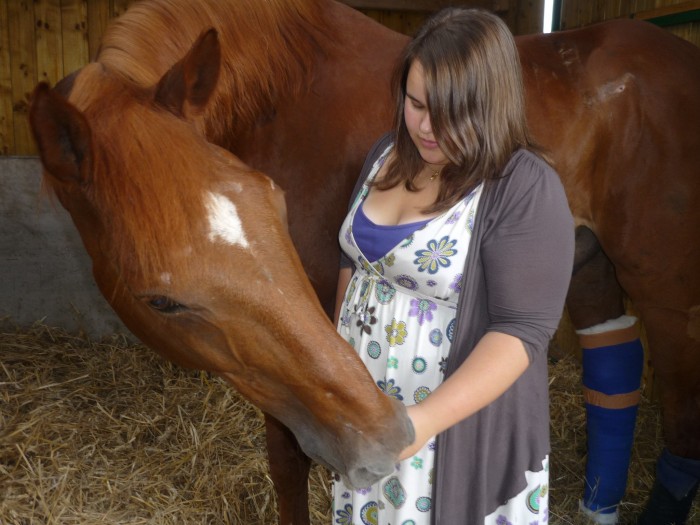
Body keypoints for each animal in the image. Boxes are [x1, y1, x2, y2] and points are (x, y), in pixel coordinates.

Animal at [28, 1, 700, 524]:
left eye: (276, 203)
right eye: (161, 300)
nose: (387, 437)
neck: (282, 98)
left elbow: (289, 459)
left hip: (664, 286)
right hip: (591, 270)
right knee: (614, 371)